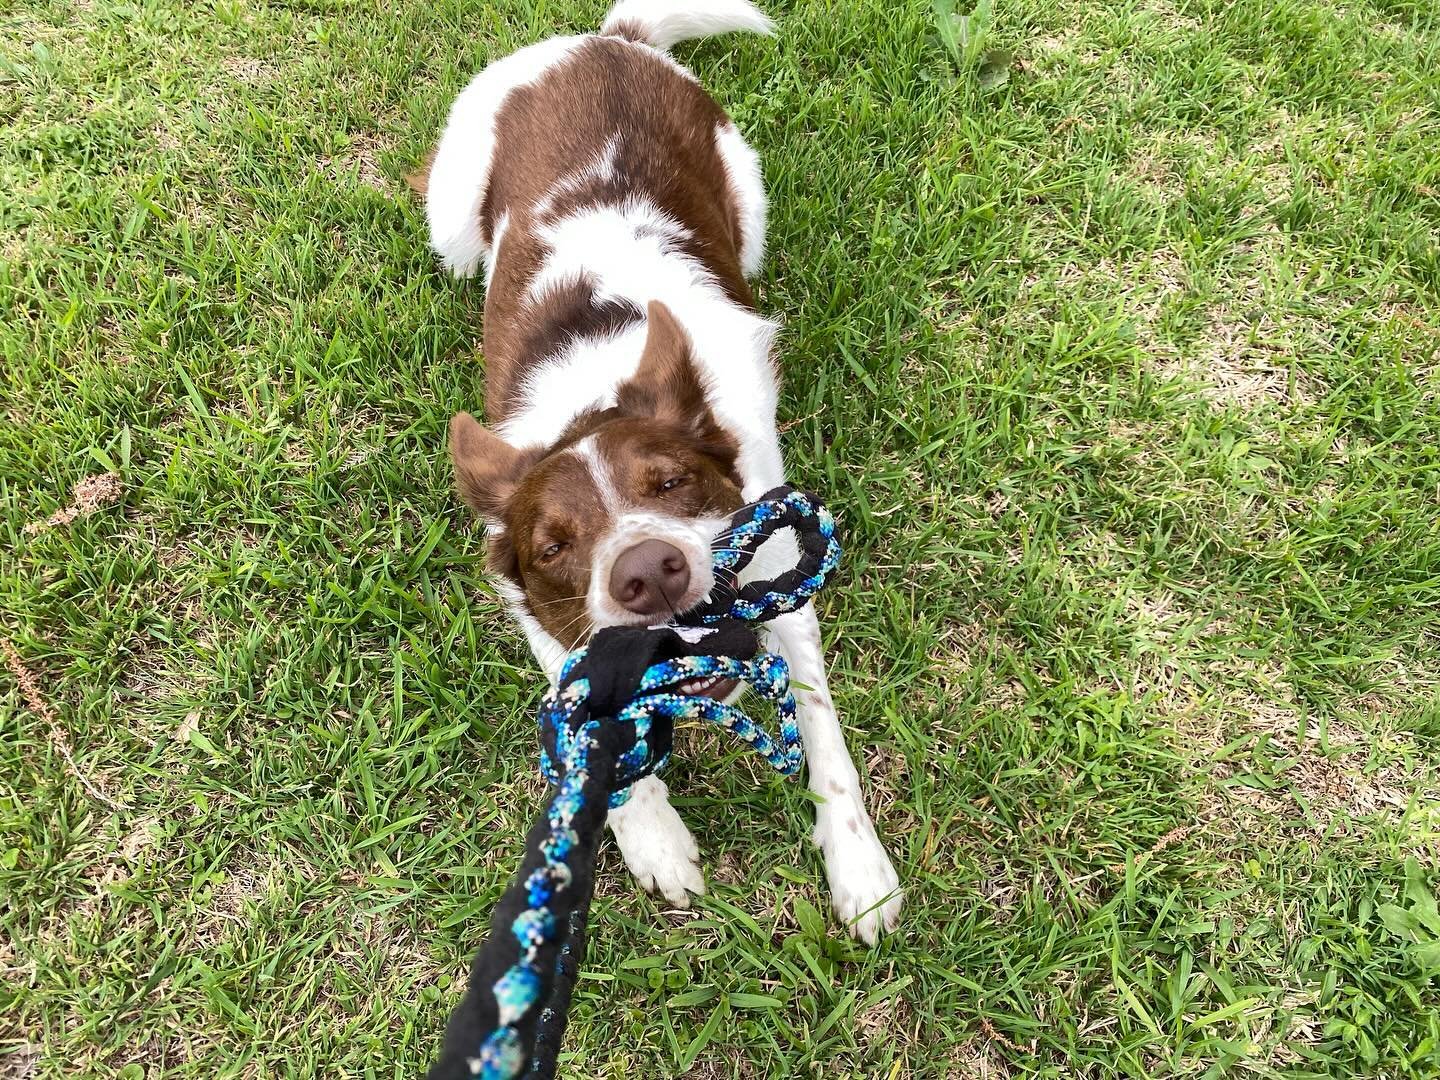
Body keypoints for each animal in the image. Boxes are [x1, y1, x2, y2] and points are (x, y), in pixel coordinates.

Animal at [411, 0, 898, 944]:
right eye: (554, 546)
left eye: (670, 483)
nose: (648, 572)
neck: (594, 393)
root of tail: (608, 40)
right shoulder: (538, 611)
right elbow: (588, 716)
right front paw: (652, 838)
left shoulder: (782, 576)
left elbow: (824, 735)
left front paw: (860, 868)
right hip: (450, 216)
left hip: (748, 195)